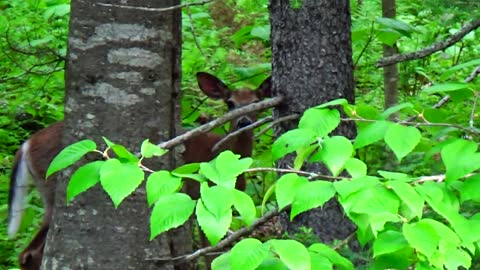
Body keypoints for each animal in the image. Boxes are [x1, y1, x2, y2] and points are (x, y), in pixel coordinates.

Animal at [8, 72, 270, 270]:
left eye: (257, 102)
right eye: (230, 103)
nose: (244, 122)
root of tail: (26, 145)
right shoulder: (201, 196)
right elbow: (210, 252)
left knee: (28, 253)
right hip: (54, 187)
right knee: (30, 253)